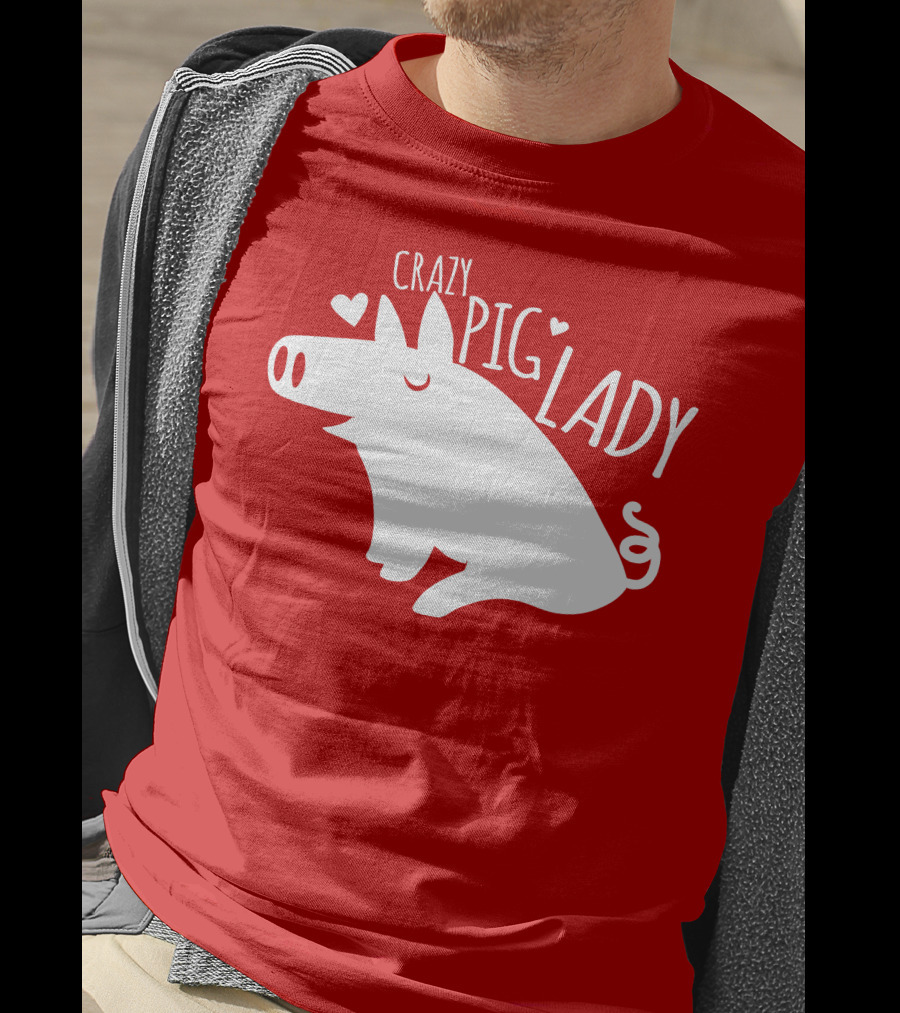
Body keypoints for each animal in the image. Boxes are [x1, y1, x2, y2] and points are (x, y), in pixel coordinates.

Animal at [267, 292, 657, 618]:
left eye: (416, 379)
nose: (289, 354)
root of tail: (620, 579)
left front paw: (394, 575)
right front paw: (378, 562)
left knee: (496, 582)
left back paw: (431, 602)